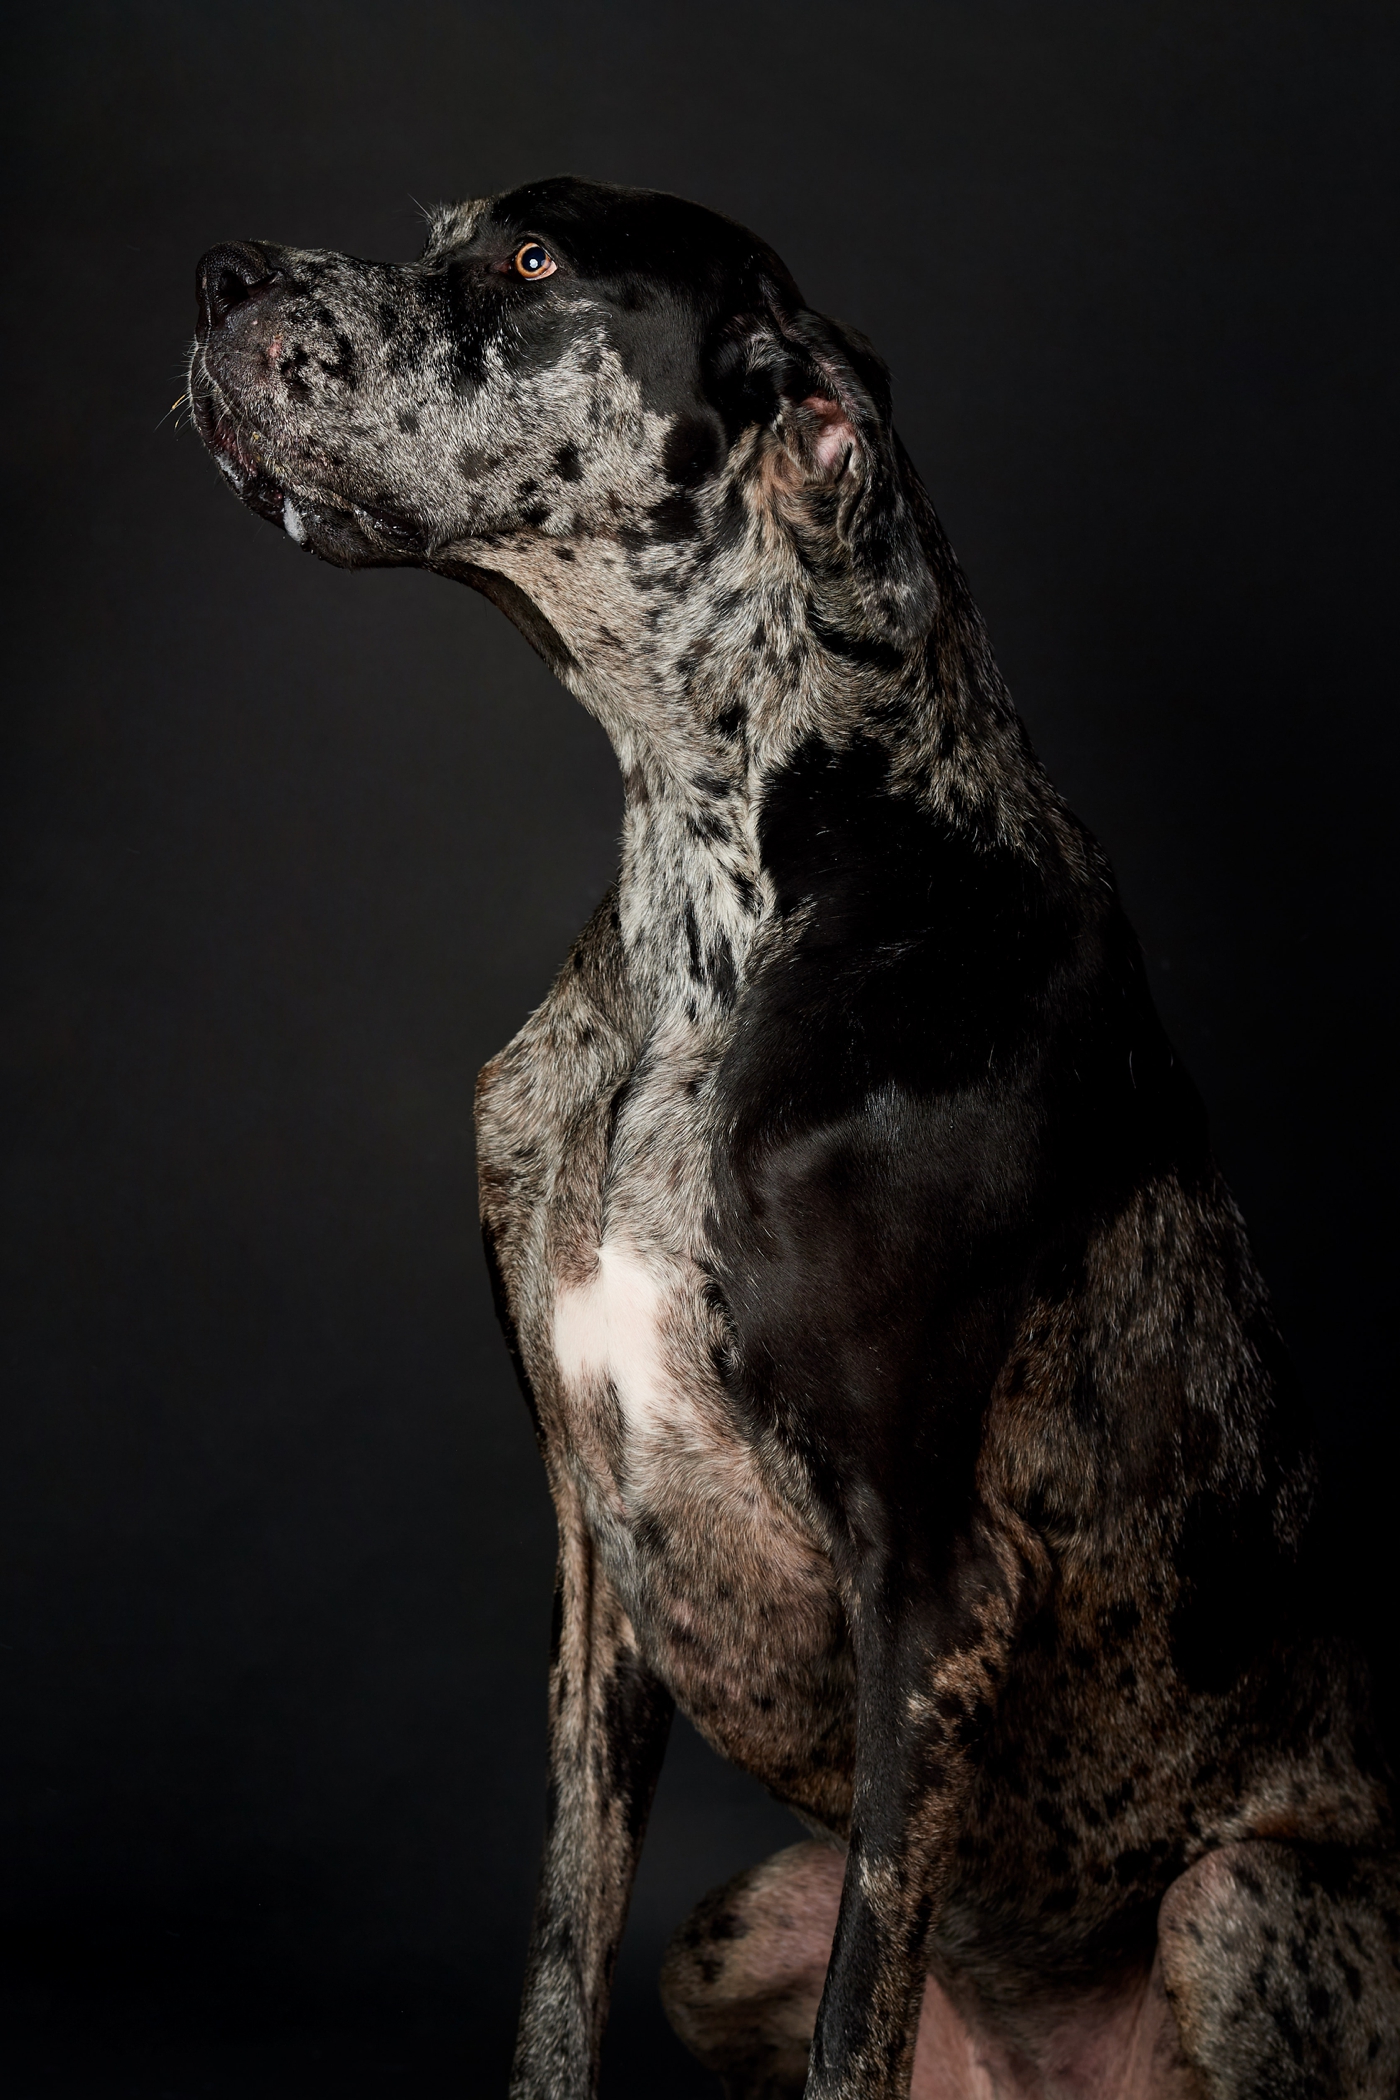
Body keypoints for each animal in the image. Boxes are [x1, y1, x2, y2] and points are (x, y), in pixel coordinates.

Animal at [189, 177, 1399, 2099]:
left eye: (533, 265)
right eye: (448, 233)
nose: (221, 277)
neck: (720, 889)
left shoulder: (931, 1592)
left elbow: (857, 2025)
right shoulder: (591, 1559)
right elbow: (561, 1964)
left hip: (1240, 1901)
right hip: (727, 1931)